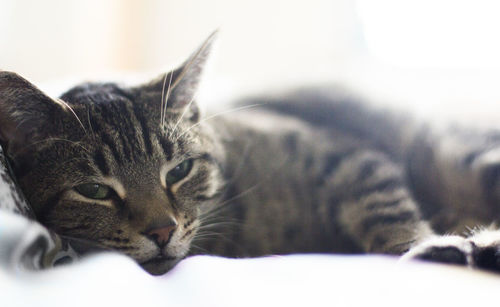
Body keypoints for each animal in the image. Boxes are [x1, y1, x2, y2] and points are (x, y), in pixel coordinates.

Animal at [0, 31, 500, 276]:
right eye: (94, 191)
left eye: (179, 170)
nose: (162, 231)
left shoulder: (346, 156)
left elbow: (385, 208)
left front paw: (423, 244)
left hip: (455, 153)